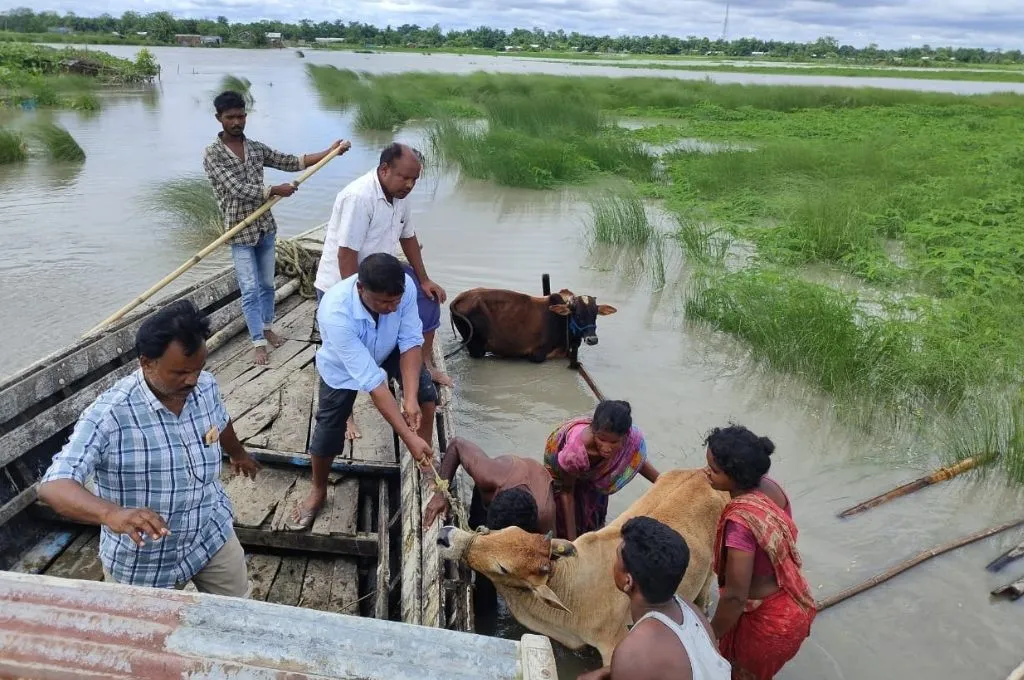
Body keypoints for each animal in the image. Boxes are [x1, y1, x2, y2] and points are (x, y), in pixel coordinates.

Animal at [448, 284, 614, 366]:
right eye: (578, 315)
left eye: (595, 315)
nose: (592, 339)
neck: (562, 321)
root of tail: (460, 298)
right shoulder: (537, 354)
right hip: (476, 346)